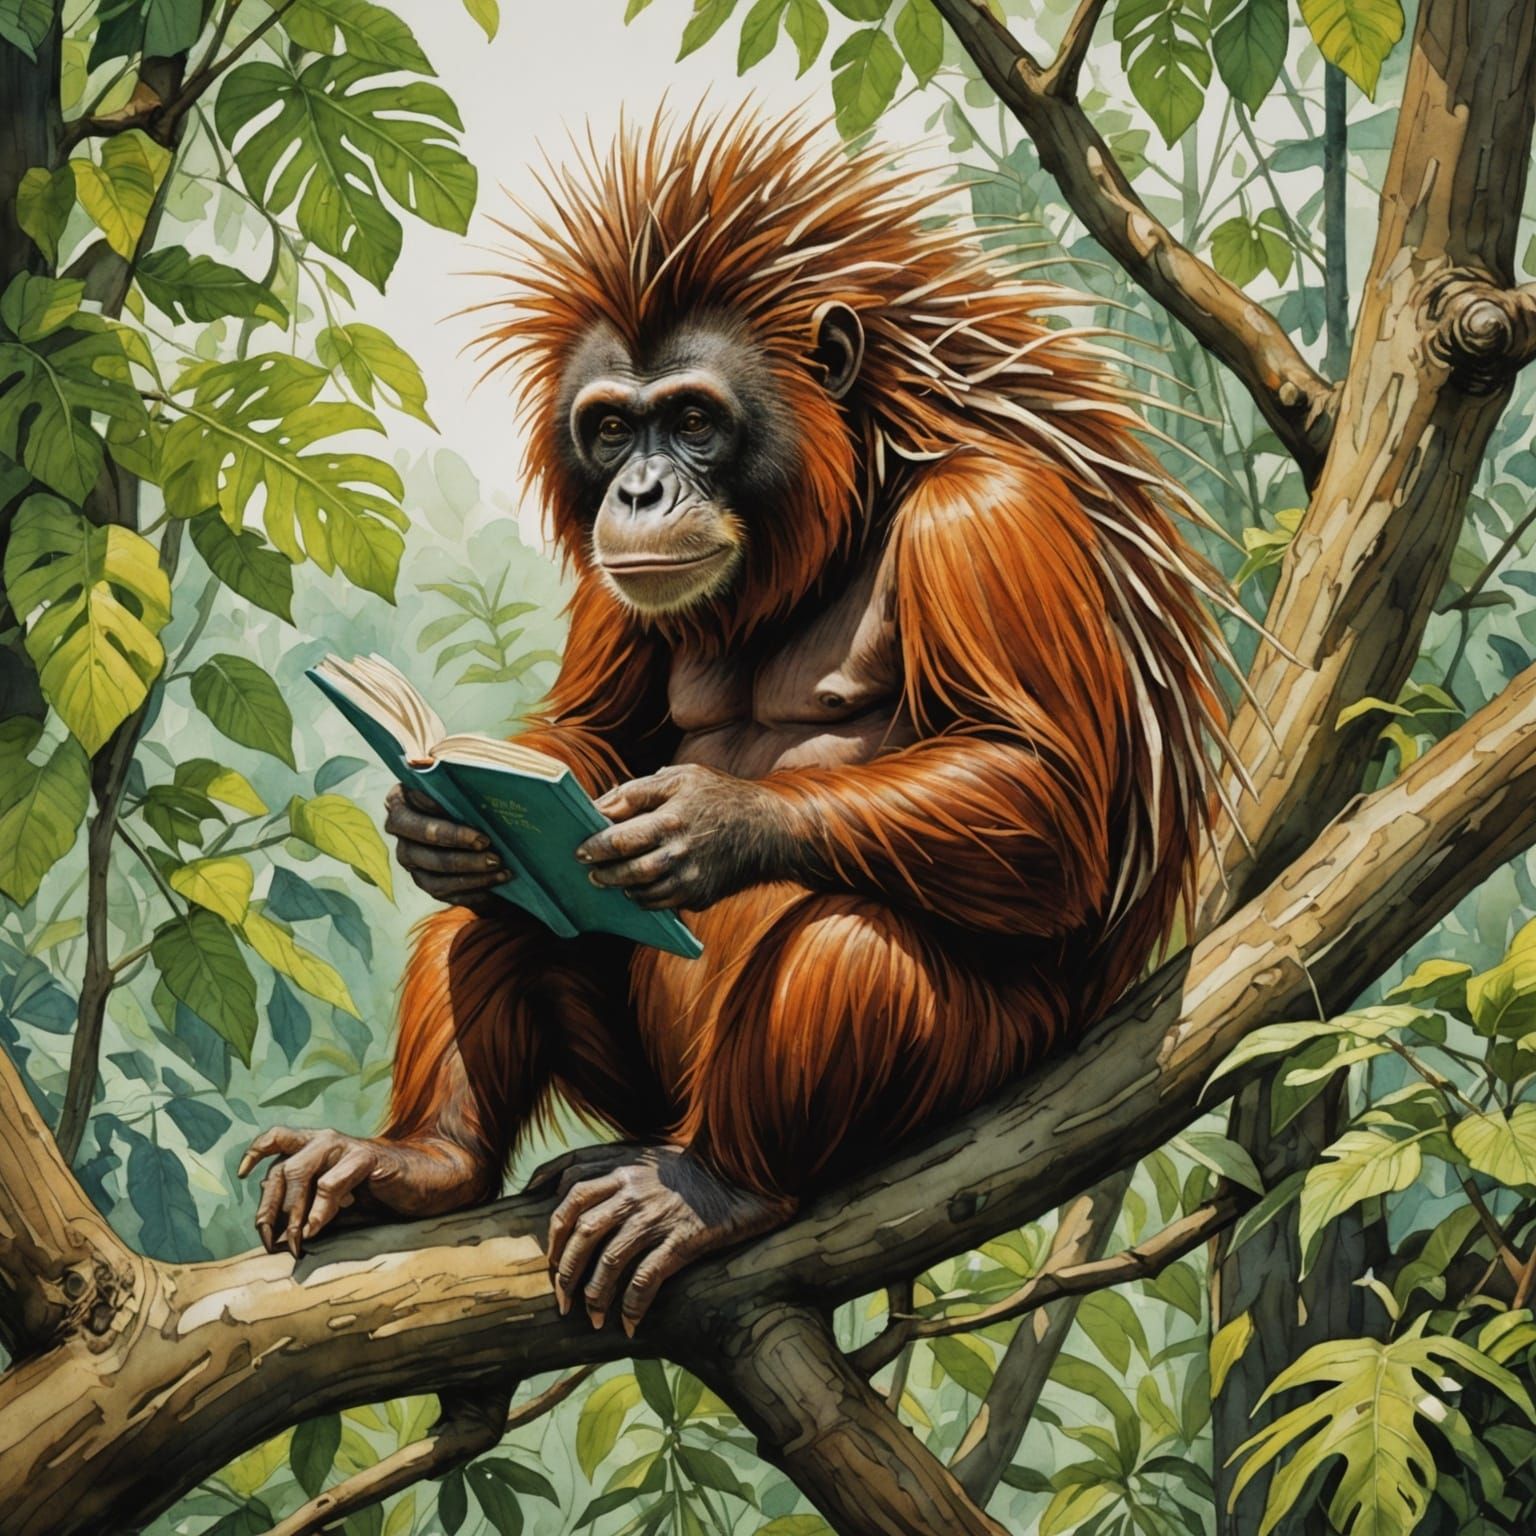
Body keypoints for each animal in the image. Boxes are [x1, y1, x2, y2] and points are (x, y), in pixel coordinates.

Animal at [239, 109, 1231, 1336]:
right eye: (611, 429)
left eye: (695, 419)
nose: (641, 492)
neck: (843, 514)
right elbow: (584, 741)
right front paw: (432, 819)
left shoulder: (992, 519)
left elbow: (1047, 802)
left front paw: (712, 823)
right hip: (641, 1085)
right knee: (501, 912)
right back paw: (426, 1161)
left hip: (977, 1065)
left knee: (848, 944)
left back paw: (717, 1188)